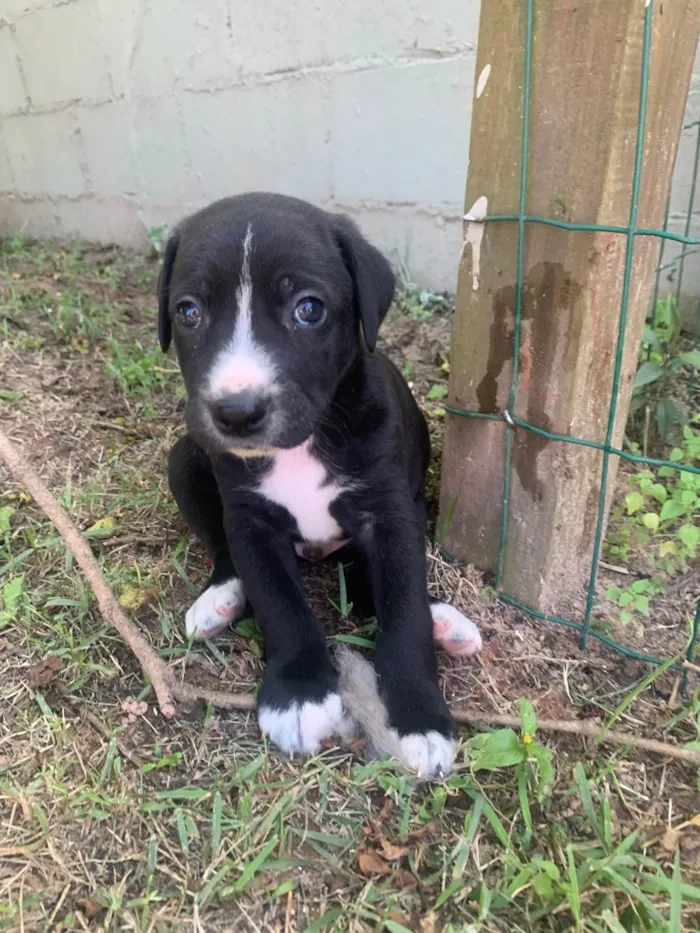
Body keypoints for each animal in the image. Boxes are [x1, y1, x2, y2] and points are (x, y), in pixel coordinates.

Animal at [161, 193, 478, 776]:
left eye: (308, 308)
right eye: (189, 312)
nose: (237, 413)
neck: (304, 444)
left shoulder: (390, 514)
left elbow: (403, 609)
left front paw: (419, 718)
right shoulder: (251, 522)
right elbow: (280, 603)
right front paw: (299, 694)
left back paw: (443, 620)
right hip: (185, 460)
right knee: (221, 548)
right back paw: (220, 598)